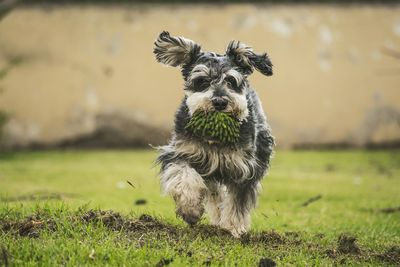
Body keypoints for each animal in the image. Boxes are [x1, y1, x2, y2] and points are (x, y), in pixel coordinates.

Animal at [153, 31, 276, 239]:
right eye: (202, 80)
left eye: (231, 81)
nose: (219, 102)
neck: (215, 138)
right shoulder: (181, 153)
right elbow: (184, 177)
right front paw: (190, 209)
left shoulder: (244, 168)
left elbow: (237, 202)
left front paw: (234, 228)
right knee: (214, 195)